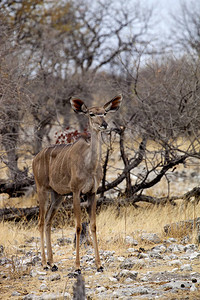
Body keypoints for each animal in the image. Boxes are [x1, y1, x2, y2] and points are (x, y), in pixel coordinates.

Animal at [32, 95, 122, 274]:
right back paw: (44, 263)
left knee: (48, 221)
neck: (89, 165)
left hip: (58, 195)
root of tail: (34, 159)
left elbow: (93, 225)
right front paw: (77, 267)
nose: (104, 124)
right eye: (91, 114)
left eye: (104, 112)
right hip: (42, 189)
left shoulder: (92, 193)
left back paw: (53, 263)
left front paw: (99, 265)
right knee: (40, 221)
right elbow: (79, 226)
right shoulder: (75, 191)